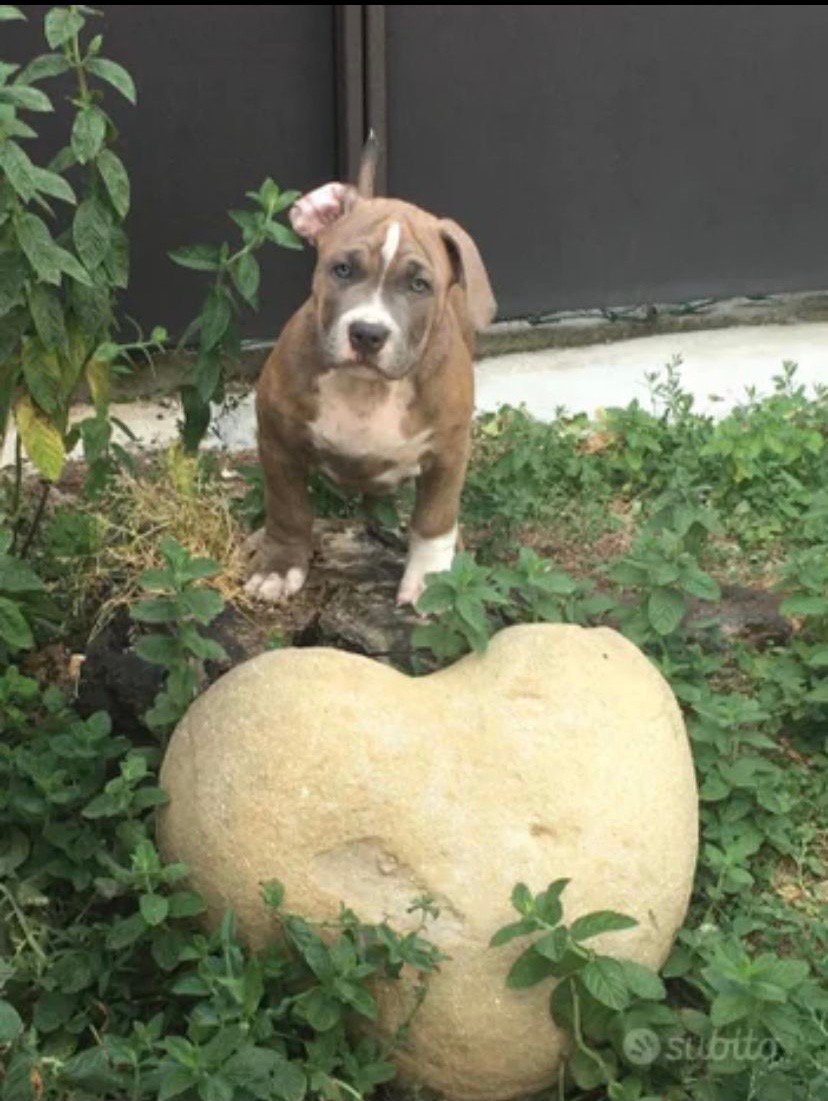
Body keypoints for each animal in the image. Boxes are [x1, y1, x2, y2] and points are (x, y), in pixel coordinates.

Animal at [245, 137, 495, 607]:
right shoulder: (278, 441)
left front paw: (431, 580)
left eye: (419, 285)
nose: (367, 333)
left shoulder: (449, 453)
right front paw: (279, 567)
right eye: (342, 269)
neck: (368, 390)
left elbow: (434, 520)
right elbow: (287, 510)